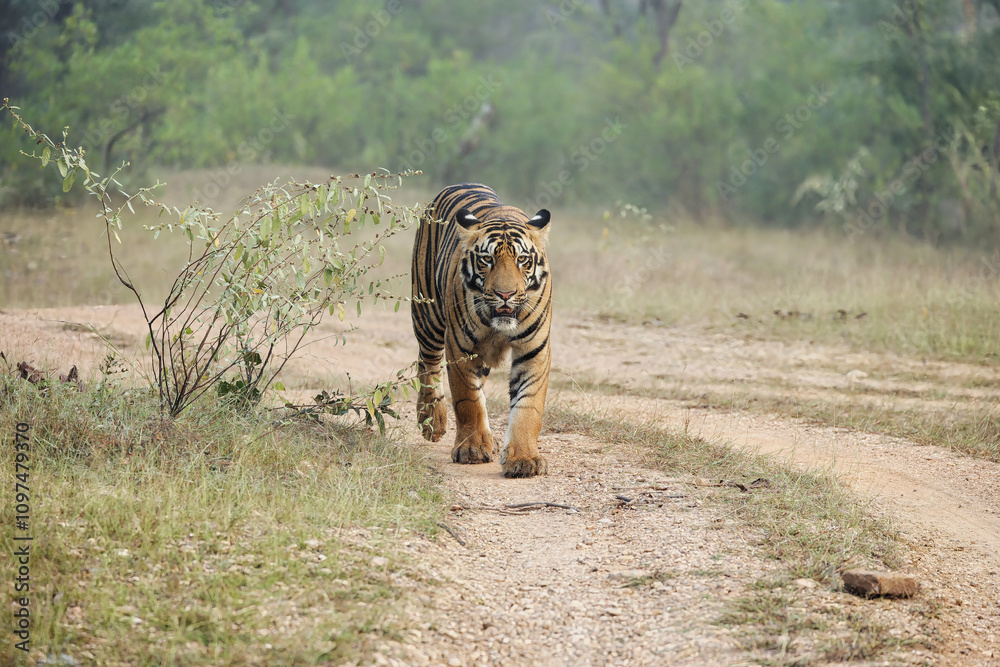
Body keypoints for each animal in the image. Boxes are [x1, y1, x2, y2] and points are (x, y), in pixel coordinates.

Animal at [411, 183, 552, 478]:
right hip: (427, 316)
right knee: (428, 364)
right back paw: (432, 421)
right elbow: (468, 400)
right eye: (487, 260)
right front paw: (472, 448)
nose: (505, 294)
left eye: (523, 259)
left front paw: (525, 459)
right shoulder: (459, 347)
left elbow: (528, 405)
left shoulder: (534, 352)